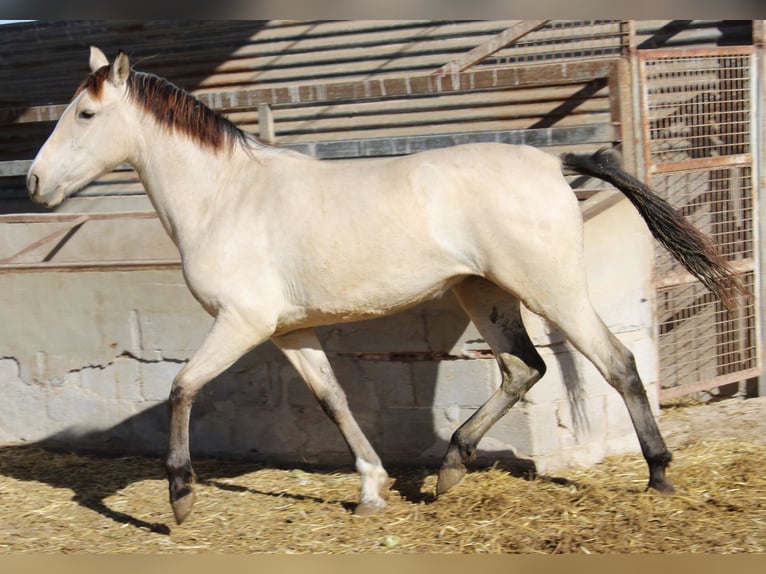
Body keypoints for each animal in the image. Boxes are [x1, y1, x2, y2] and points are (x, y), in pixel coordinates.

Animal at [27, 48, 740, 528]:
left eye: (85, 112)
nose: (34, 182)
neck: (227, 197)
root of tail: (551, 160)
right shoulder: (290, 331)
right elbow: (334, 401)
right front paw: (372, 489)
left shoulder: (242, 322)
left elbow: (182, 387)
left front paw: (179, 496)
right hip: (484, 294)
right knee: (523, 368)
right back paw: (450, 470)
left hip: (550, 290)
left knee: (617, 363)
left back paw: (658, 475)